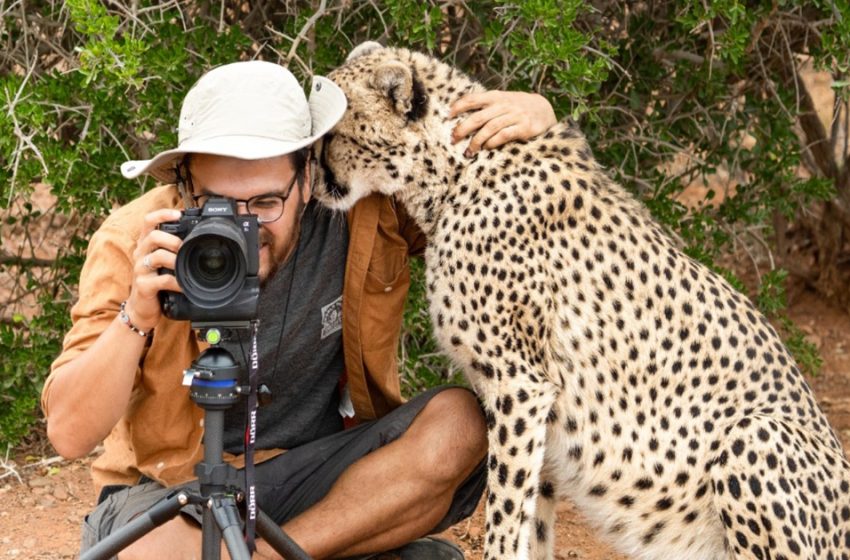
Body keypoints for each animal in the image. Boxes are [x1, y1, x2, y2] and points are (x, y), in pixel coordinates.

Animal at [314, 43, 848, 560]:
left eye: (331, 135)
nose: (314, 185)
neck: (453, 169)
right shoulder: (538, 409)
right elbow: (532, 524)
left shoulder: (519, 385)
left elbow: (505, 518)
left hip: (751, 436)